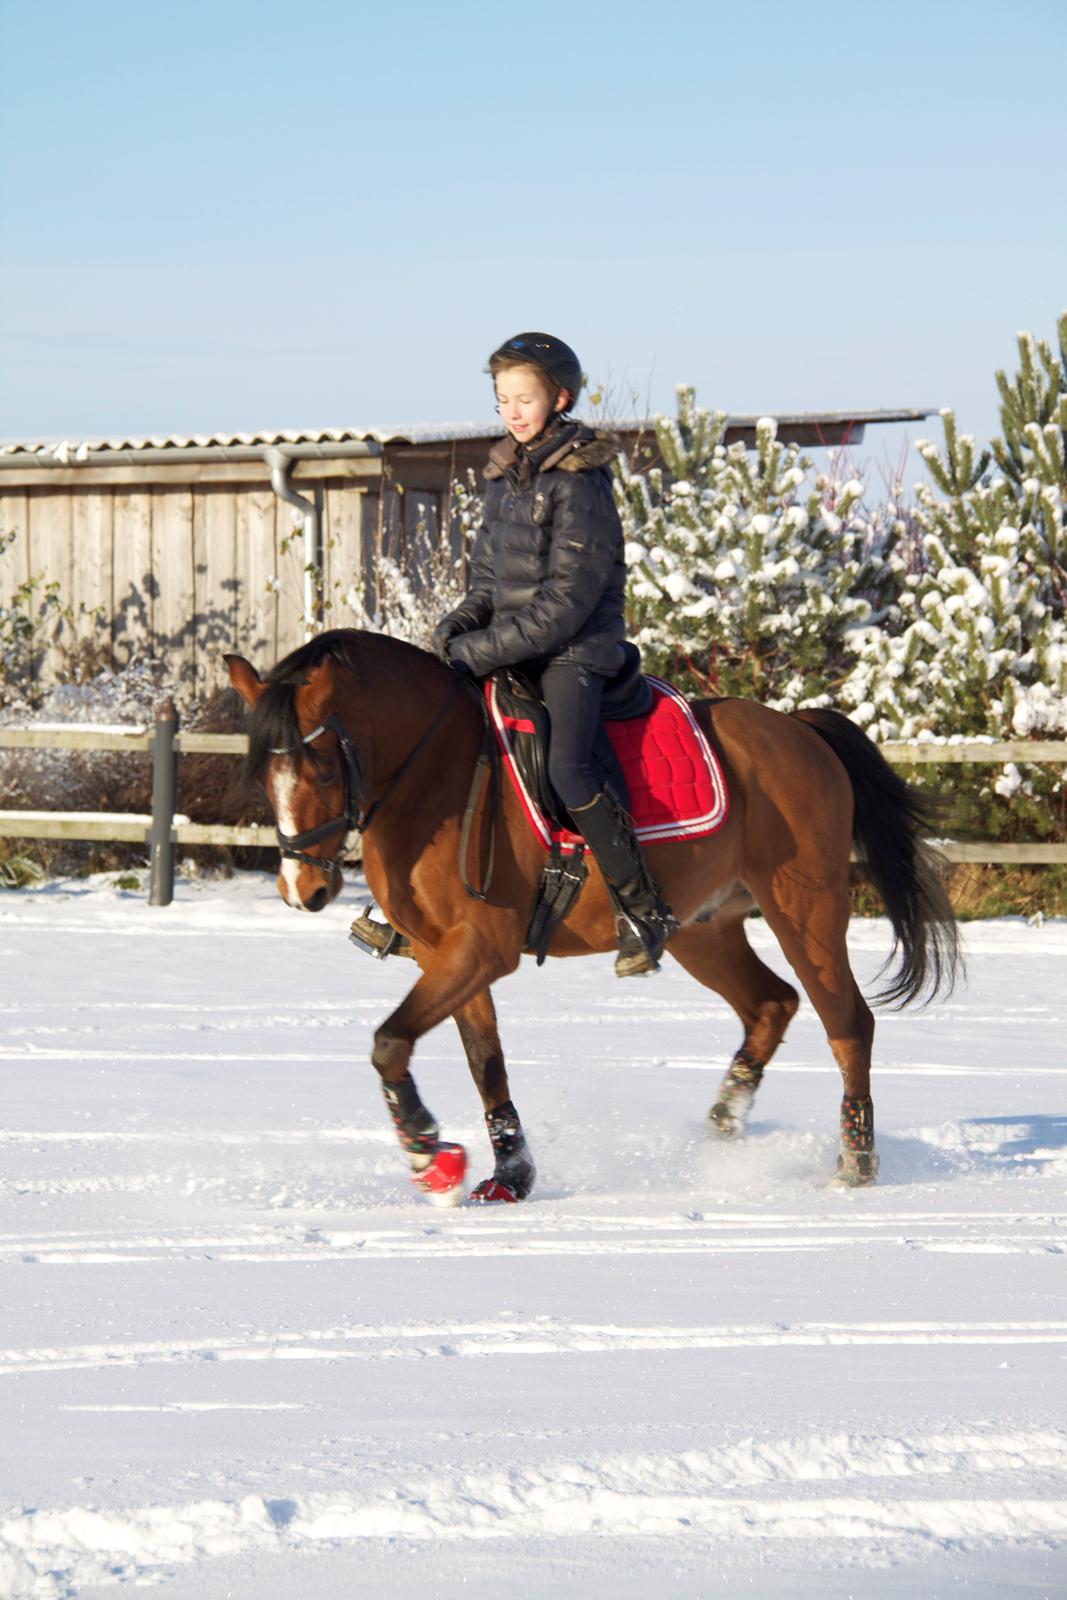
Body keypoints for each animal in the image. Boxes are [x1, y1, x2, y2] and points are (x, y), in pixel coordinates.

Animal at [227, 624, 959, 1203]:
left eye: (323, 771)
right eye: (263, 776)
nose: (301, 888)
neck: (437, 775)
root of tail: (799, 729)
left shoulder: (481, 949)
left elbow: (389, 1042)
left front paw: (427, 1155)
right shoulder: (447, 955)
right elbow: (483, 1061)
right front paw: (509, 1175)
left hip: (803, 908)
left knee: (848, 1023)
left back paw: (854, 1163)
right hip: (703, 930)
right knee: (770, 1004)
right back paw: (722, 1127)